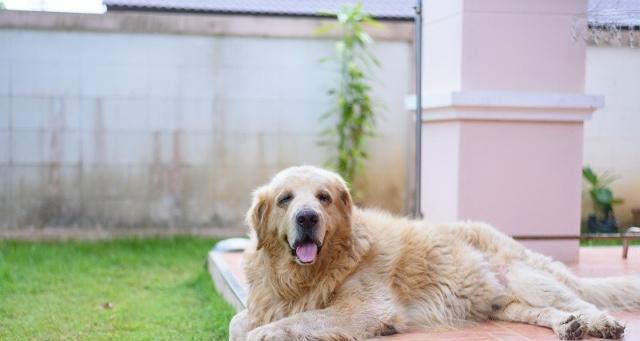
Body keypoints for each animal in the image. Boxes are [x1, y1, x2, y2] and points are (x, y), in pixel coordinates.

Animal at [230, 165, 640, 340]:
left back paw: (600, 324)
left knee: (583, 302)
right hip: (504, 303)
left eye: (323, 198)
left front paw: (265, 334)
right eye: (285, 199)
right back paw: (567, 326)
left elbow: (294, 322)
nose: (307, 217)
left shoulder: (365, 308)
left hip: (526, 278)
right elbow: (239, 322)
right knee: (547, 312)